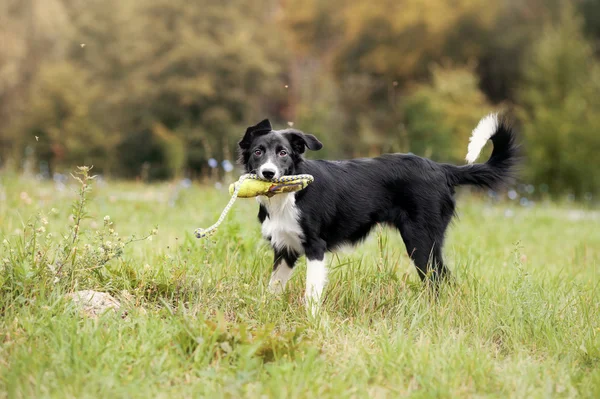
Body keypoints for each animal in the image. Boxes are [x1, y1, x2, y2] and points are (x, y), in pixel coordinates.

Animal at [237, 114, 516, 314]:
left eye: (283, 153)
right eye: (258, 152)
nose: (268, 173)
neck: (287, 197)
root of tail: (441, 169)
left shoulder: (315, 247)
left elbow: (311, 294)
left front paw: (311, 322)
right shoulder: (285, 249)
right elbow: (273, 288)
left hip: (421, 243)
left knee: (437, 281)